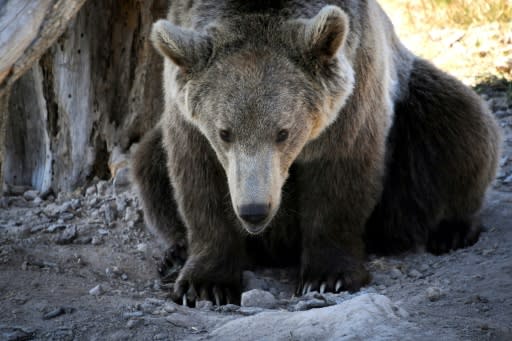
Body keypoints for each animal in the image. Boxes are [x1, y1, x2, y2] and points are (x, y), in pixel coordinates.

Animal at [132, 0, 500, 304]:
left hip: (414, 110)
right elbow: (197, 179)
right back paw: (174, 253)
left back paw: (451, 229)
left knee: (460, 127)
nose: (254, 211)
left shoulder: (353, 93)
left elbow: (339, 176)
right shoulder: (188, 117)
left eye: (283, 132)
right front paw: (203, 284)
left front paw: (327, 276)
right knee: (148, 164)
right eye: (224, 132)